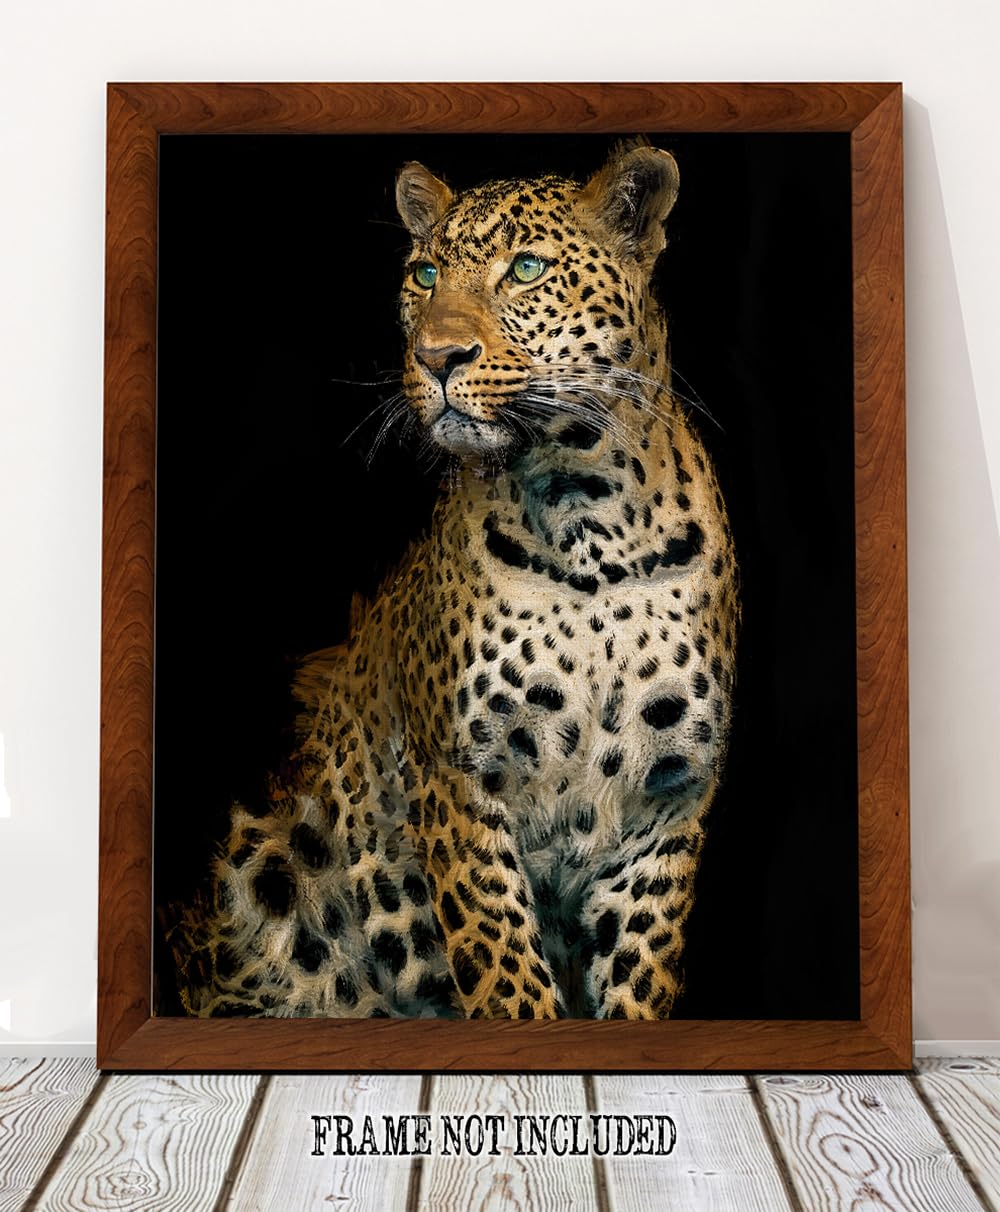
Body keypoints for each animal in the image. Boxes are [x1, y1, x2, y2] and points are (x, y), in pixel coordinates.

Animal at [169, 140, 739, 1021]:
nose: (437, 358)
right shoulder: (461, 780)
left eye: (527, 269)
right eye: (426, 275)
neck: (591, 522)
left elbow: (638, 978)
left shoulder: (669, 797)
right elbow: (505, 970)